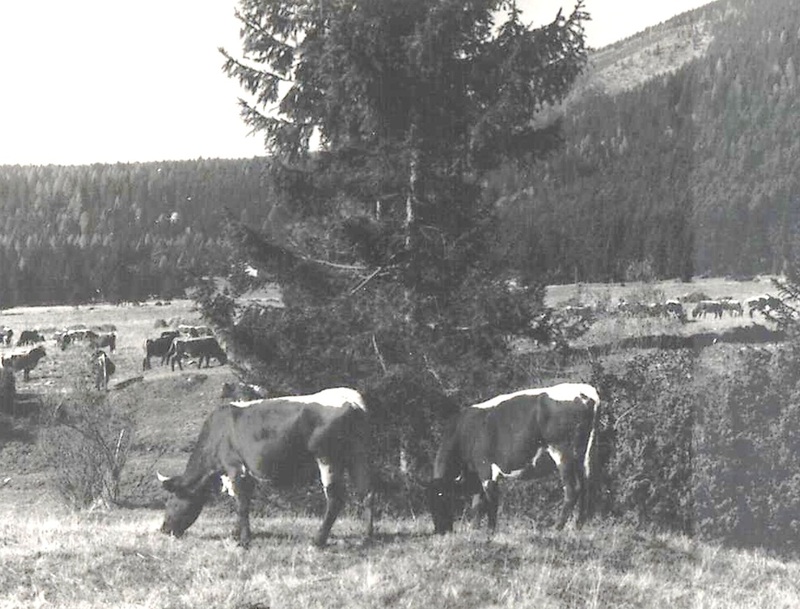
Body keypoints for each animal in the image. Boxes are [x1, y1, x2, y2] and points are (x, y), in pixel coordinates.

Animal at [157, 388, 376, 548]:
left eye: (171, 502)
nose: (164, 529)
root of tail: (352, 399)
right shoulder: (246, 473)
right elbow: (242, 503)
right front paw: (236, 534)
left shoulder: (235, 467)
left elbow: (241, 504)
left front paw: (244, 541)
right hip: (360, 456)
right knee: (367, 493)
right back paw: (366, 538)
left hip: (328, 458)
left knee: (335, 498)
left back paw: (318, 540)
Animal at [428, 382, 596, 536]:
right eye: (431, 505)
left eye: (444, 498)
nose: (440, 531)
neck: (465, 431)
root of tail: (586, 391)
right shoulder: (476, 474)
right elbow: (477, 503)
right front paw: (475, 530)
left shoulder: (486, 469)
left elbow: (491, 501)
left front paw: (490, 531)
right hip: (582, 457)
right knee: (585, 488)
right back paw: (578, 527)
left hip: (563, 453)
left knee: (572, 489)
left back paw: (557, 528)